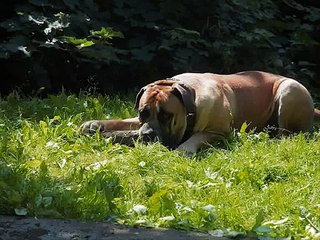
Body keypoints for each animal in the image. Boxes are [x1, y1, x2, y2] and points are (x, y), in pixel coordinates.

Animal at [80, 71, 320, 154]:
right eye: (142, 113)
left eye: (166, 116)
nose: (147, 135)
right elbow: (122, 122)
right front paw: (94, 124)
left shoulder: (217, 132)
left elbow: (196, 138)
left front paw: (183, 149)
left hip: (289, 90)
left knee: (286, 134)